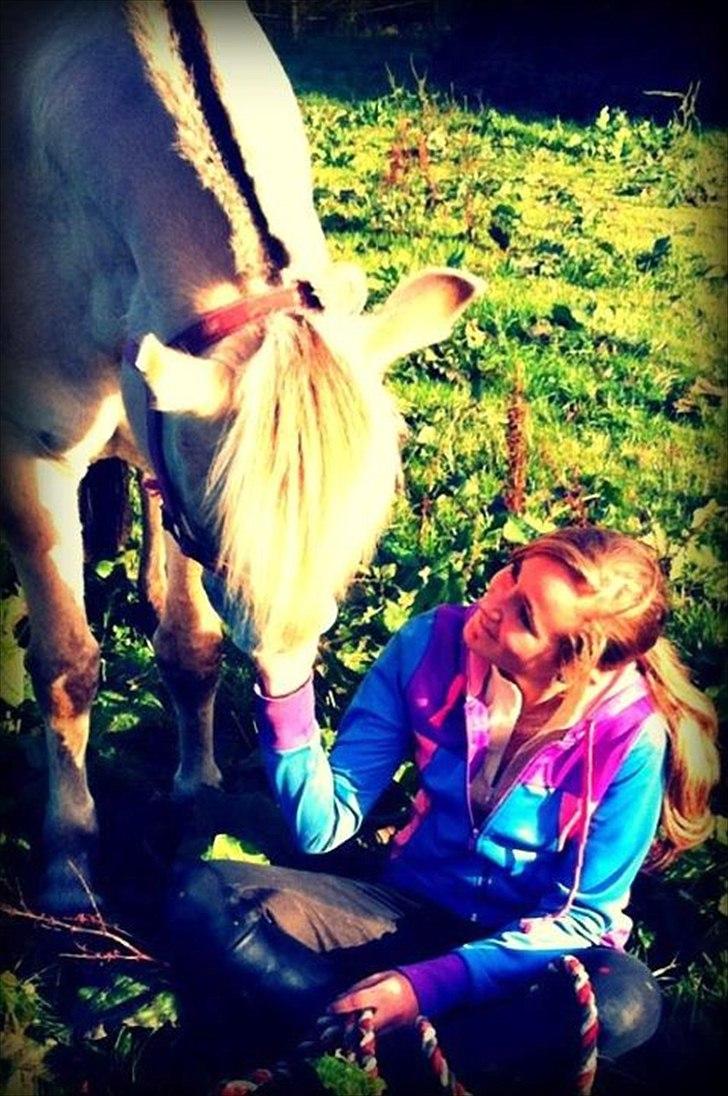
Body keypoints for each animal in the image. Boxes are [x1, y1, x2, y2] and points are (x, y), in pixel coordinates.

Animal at [0, 0, 482, 912]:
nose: (283, 691)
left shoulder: (163, 446)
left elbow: (190, 647)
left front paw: (198, 793)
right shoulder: (28, 459)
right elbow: (68, 667)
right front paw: (70, 859)